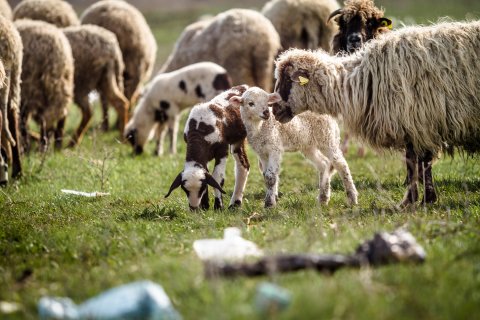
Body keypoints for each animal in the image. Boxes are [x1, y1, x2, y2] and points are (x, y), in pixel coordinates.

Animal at [272, 21, 480, 205]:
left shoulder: (421, 121)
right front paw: (420, 199)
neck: (360, 81)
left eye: (288, 80)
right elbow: (416, 162)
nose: (274, 110)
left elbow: (417, 162)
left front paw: (416, 201)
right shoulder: (416, 125)